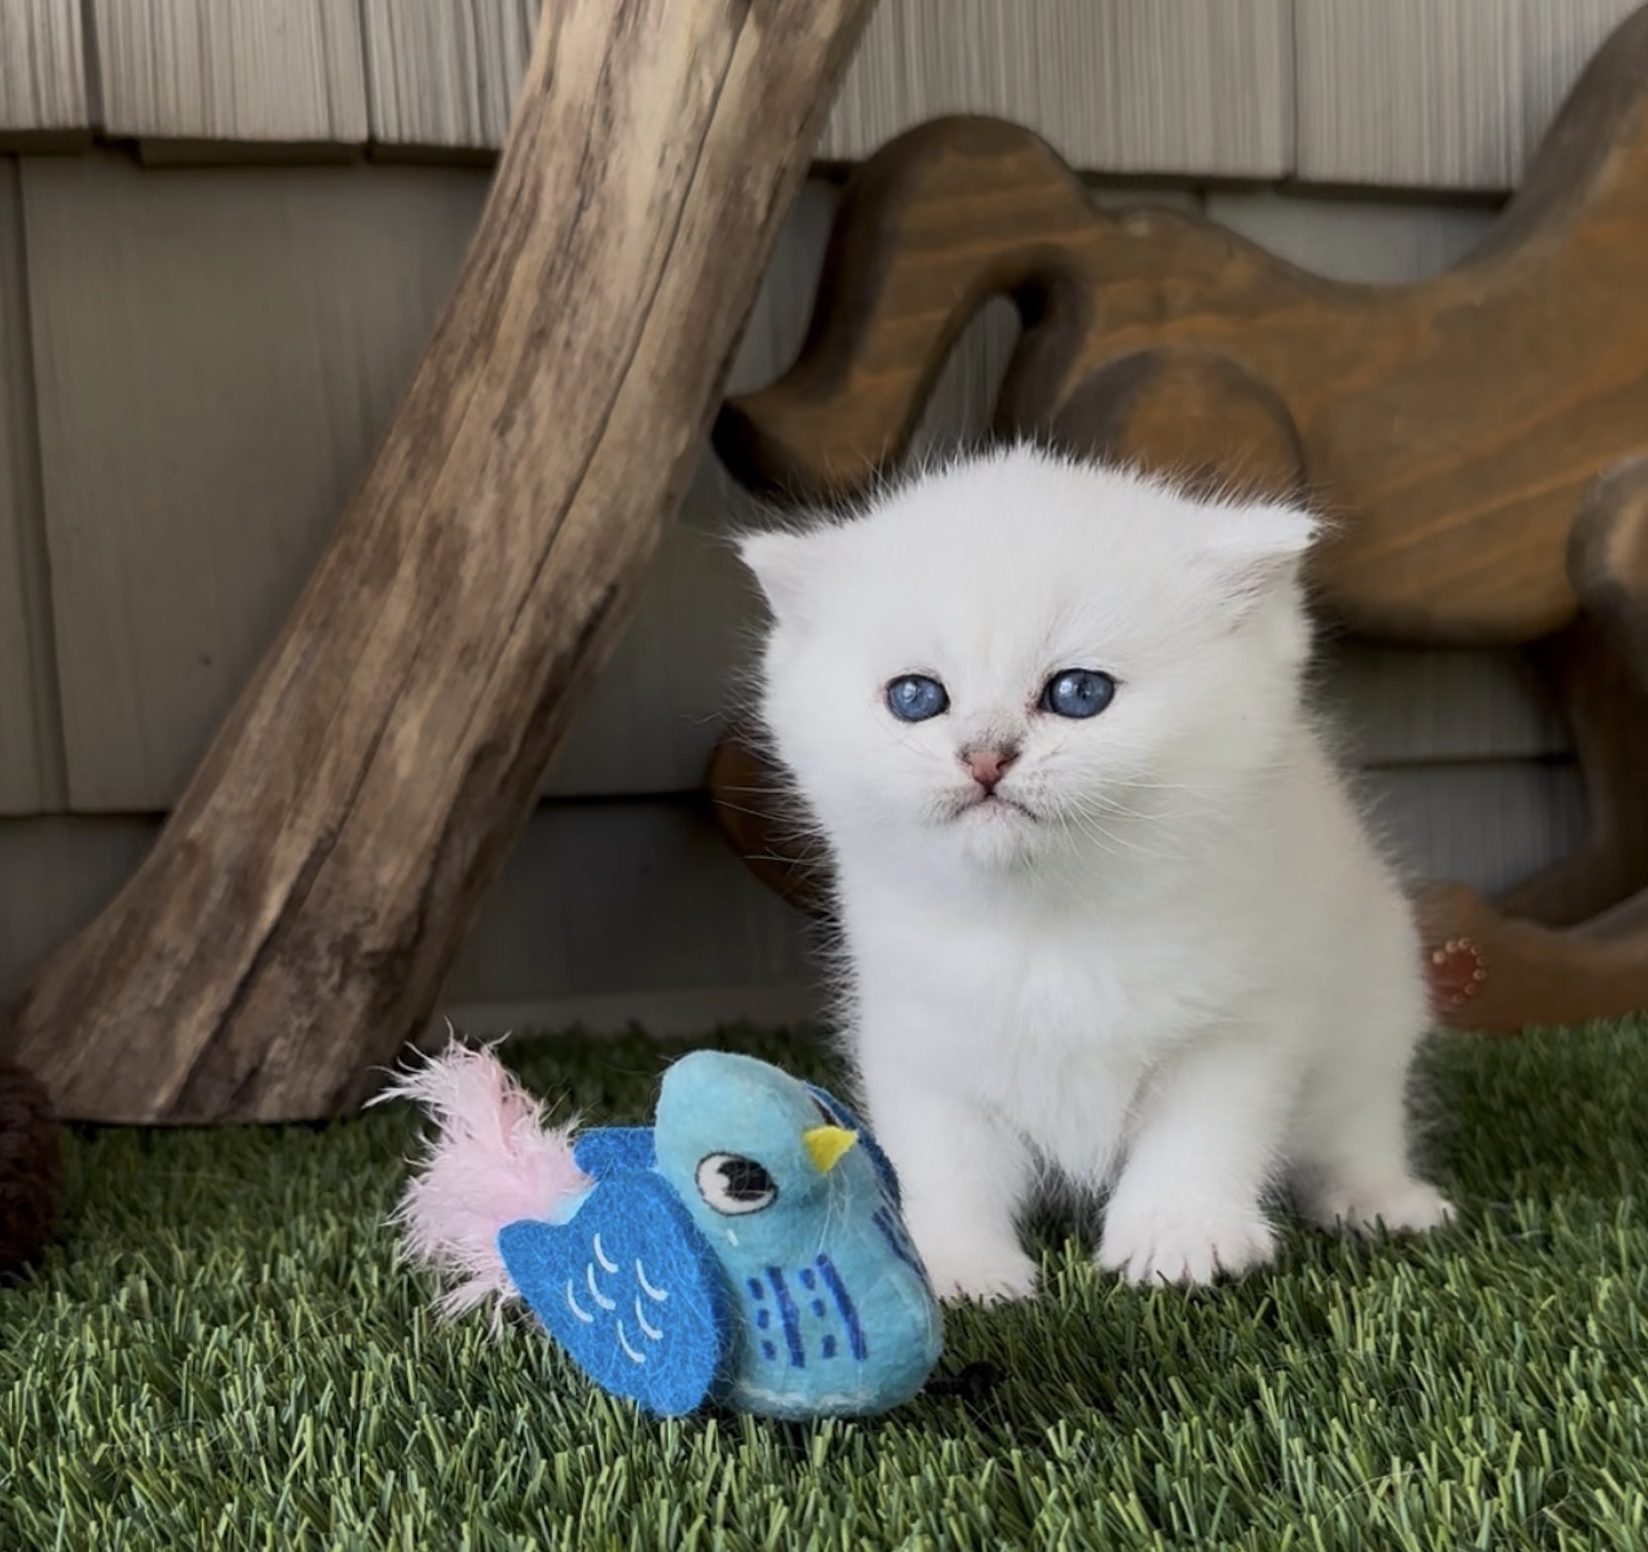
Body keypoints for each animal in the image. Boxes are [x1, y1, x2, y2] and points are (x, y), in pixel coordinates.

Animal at [736, 443, 1454, 1299]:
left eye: (1080, 693)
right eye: (915, 697)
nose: (984, 757)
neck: (1050, 925)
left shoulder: (1239, 1029)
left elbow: (1200, 1138)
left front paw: (1180, 1238)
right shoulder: (923, 1043)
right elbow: (943, 1163)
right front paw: (953, 1268)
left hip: (1377, 995)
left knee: (1355, 1126)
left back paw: (1380, 1201)